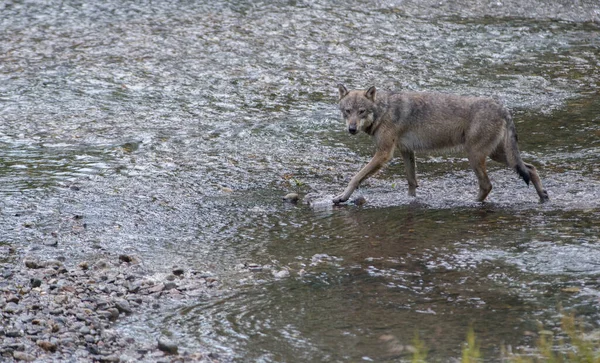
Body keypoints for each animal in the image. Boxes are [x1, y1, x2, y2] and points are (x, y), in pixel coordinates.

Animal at [332, 85, 548, 205]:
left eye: (361, 111)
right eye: (347, 111)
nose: (351, 129)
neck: (383, 110)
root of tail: (503, 108)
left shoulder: (384, 154)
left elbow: (356, 177)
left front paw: (342, 197)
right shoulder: (406, 151)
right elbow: (412, 182)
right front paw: (411, 201)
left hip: (475, 155)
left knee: (487, 185)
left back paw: (470, 203)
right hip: (498, 155)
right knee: (531, 168)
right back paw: (544, 197)